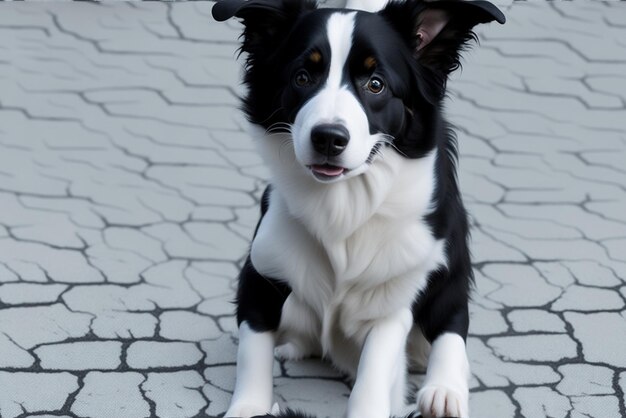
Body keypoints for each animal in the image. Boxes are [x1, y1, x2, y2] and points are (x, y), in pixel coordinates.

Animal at [212, 0, 504, 416]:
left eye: (375, 83)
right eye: (303, 77)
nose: (328, 138)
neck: (343, 204)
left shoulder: (393, 300)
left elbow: (374, 375)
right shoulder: (261, 273)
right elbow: (252, 351)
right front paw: (249, 406)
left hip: (447, 271)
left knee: (451, 325)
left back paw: (443, 390)